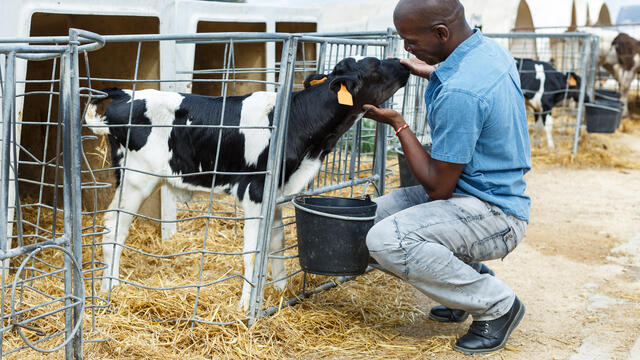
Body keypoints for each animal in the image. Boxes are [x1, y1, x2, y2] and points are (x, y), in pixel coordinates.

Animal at [84, 56, 410, 310]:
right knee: (114, 227)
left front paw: (279, 292)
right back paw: (109, 289)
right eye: (375, 64)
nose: (404, 64)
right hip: (136, 179)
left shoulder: (276, 191)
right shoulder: (255, 190)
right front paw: (246, 305)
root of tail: (125, 95)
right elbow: (253, 249)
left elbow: (276, 240)